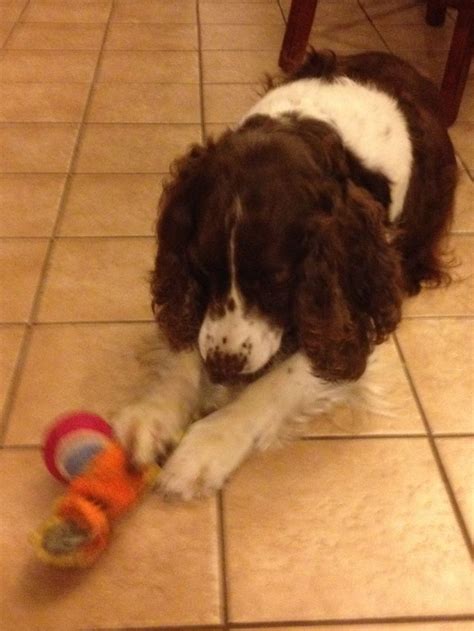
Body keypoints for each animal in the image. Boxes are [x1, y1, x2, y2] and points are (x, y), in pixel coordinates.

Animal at [113, 49, 458, 502]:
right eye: (201, 267)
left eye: (276, 280)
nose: (222, 367)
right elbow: (186, 348)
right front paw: (153, 415)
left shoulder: (350, 316)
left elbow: (273, 386)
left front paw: (204, 449)